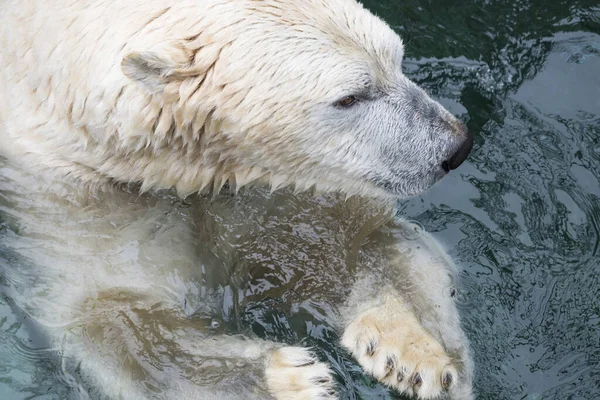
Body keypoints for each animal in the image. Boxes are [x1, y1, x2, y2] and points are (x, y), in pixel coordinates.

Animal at [2, 0, 476, 400]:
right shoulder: (76, 196)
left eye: (396, 58)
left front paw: (414, 354)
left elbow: (347, 243)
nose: (455, 147)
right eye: (349, 97)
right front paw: (291, 378)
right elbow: (104, 310)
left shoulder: (260, 185)